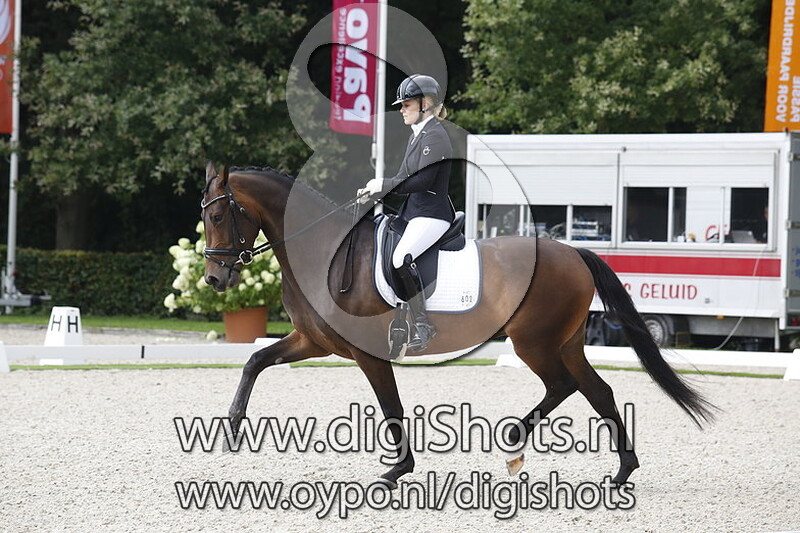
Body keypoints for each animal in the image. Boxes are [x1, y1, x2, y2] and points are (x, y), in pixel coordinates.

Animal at [199, 162, 715, 488]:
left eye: (220, 214)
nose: (214, 278)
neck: (324, 249)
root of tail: (573, 251)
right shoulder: (312, 341)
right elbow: (255, 360)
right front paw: (230, 430)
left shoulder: (367, 353)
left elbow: (391, 406)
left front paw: (398, 469)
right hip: (565, 342)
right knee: (598, 391)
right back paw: (623, 471)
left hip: (533, 342)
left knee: (563, 385)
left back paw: (514, 444)